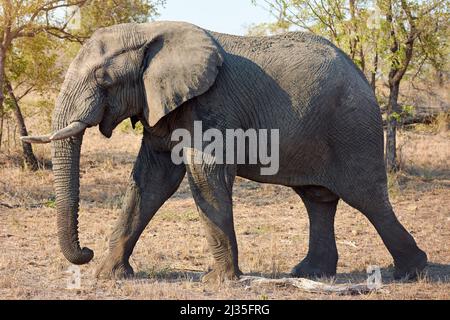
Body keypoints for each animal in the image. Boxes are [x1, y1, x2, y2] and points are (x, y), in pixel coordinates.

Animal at [22, 21, 428, 284]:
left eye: (104, 80)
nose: (86, 250)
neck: (149, 32)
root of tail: (360, 72)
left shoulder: (210, 104)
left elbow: (204, 173)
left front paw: (218, 282)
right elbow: (151, 179)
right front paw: (108, 276)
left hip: (352, 128)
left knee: (367, 198)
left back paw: (412, 272)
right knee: (317, 198)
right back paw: (311, 273)